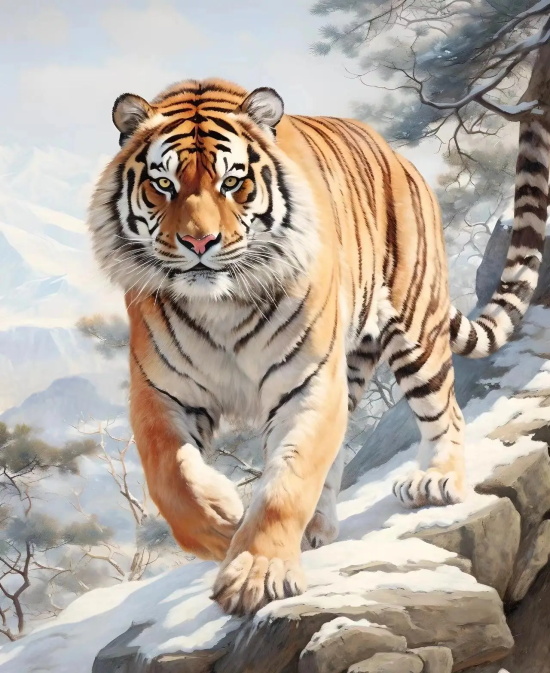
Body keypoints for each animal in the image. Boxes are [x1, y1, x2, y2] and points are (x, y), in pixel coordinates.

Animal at [88, 78, 548, 616]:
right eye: (163, 184)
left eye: (232, 182)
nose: (199, 242)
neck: (221, 304)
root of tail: (398, 156)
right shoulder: (160, 391)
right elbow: (171, 477)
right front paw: (222, 521)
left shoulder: (307, 382)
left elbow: (286, 482)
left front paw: (256, 573)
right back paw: (314, 528)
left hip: (413, 326)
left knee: (444, 411)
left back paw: (436, 481)